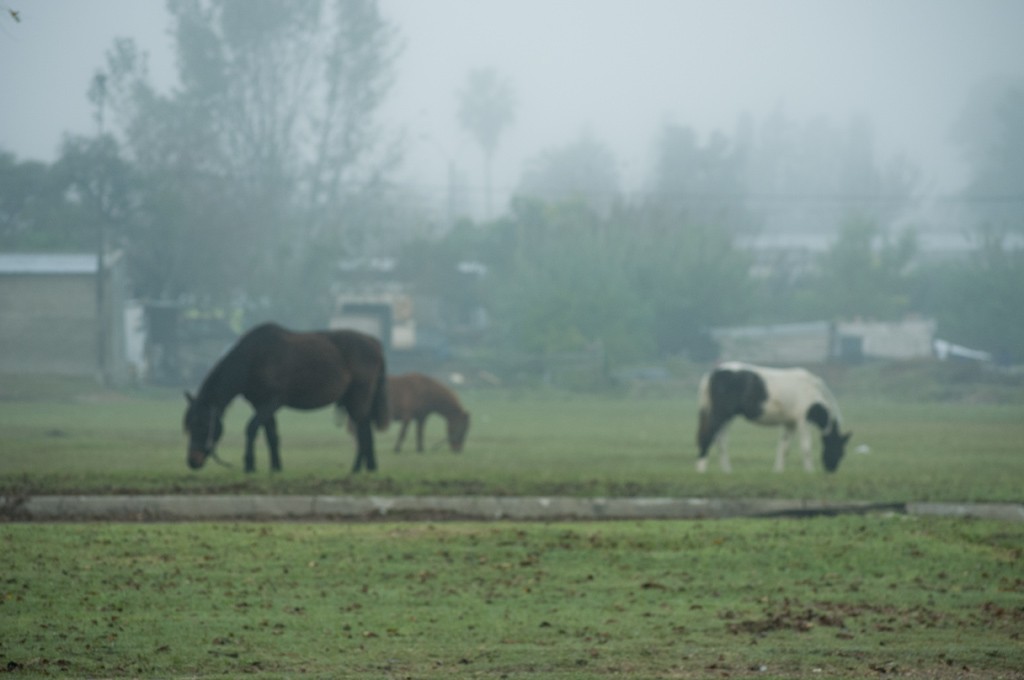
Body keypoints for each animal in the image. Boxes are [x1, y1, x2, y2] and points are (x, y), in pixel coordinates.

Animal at [182, 323, 389, 473]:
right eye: (189, 425)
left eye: (202, 425)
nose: (193, 461)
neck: (253, 358)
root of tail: (374, 343)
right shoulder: (260, 404)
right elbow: (271, 435)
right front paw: (275, 467)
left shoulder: (272, 402)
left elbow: (251, 428)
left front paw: (249, 464)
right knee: (365, 429)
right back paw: (370, 467)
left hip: (358, 397)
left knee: (362, 429)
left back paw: (357, 468)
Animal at [696, 360, 847, 473]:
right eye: (840, 450)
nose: (831, 469)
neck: (814, 391)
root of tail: (712, 374)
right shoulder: (803, 421)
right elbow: (806, 447)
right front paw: (810, 471)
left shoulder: (790, 423)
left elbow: (784, 447)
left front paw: (778, 471)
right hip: (720, 414)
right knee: (708, 435)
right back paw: (701, 469)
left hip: (727, 417)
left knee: (721, 440)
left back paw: (727, 470)